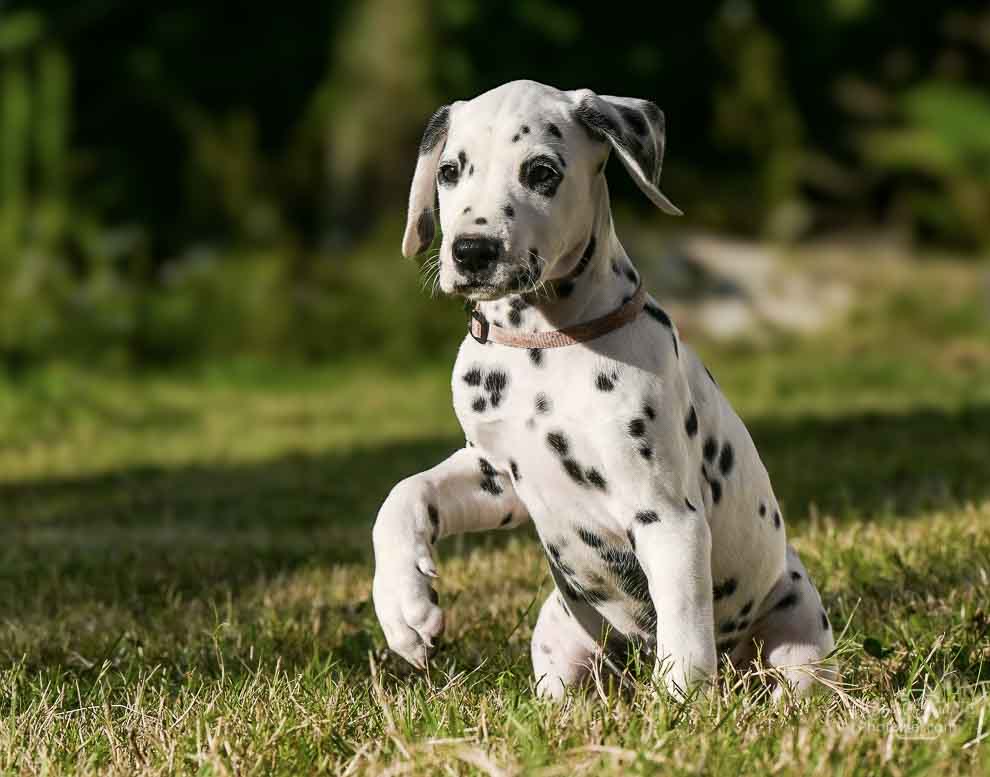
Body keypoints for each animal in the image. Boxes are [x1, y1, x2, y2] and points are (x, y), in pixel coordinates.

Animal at [372, 82, 836, 700]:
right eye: (449, 171)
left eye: (542, 172)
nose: (471, 251)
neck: (542, 343)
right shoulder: (498, 476)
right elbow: (404, 492)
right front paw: (403, 606)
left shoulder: (668, 518)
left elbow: (684, 637)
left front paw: (680, 714)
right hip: (557, 634)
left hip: (797, 628)